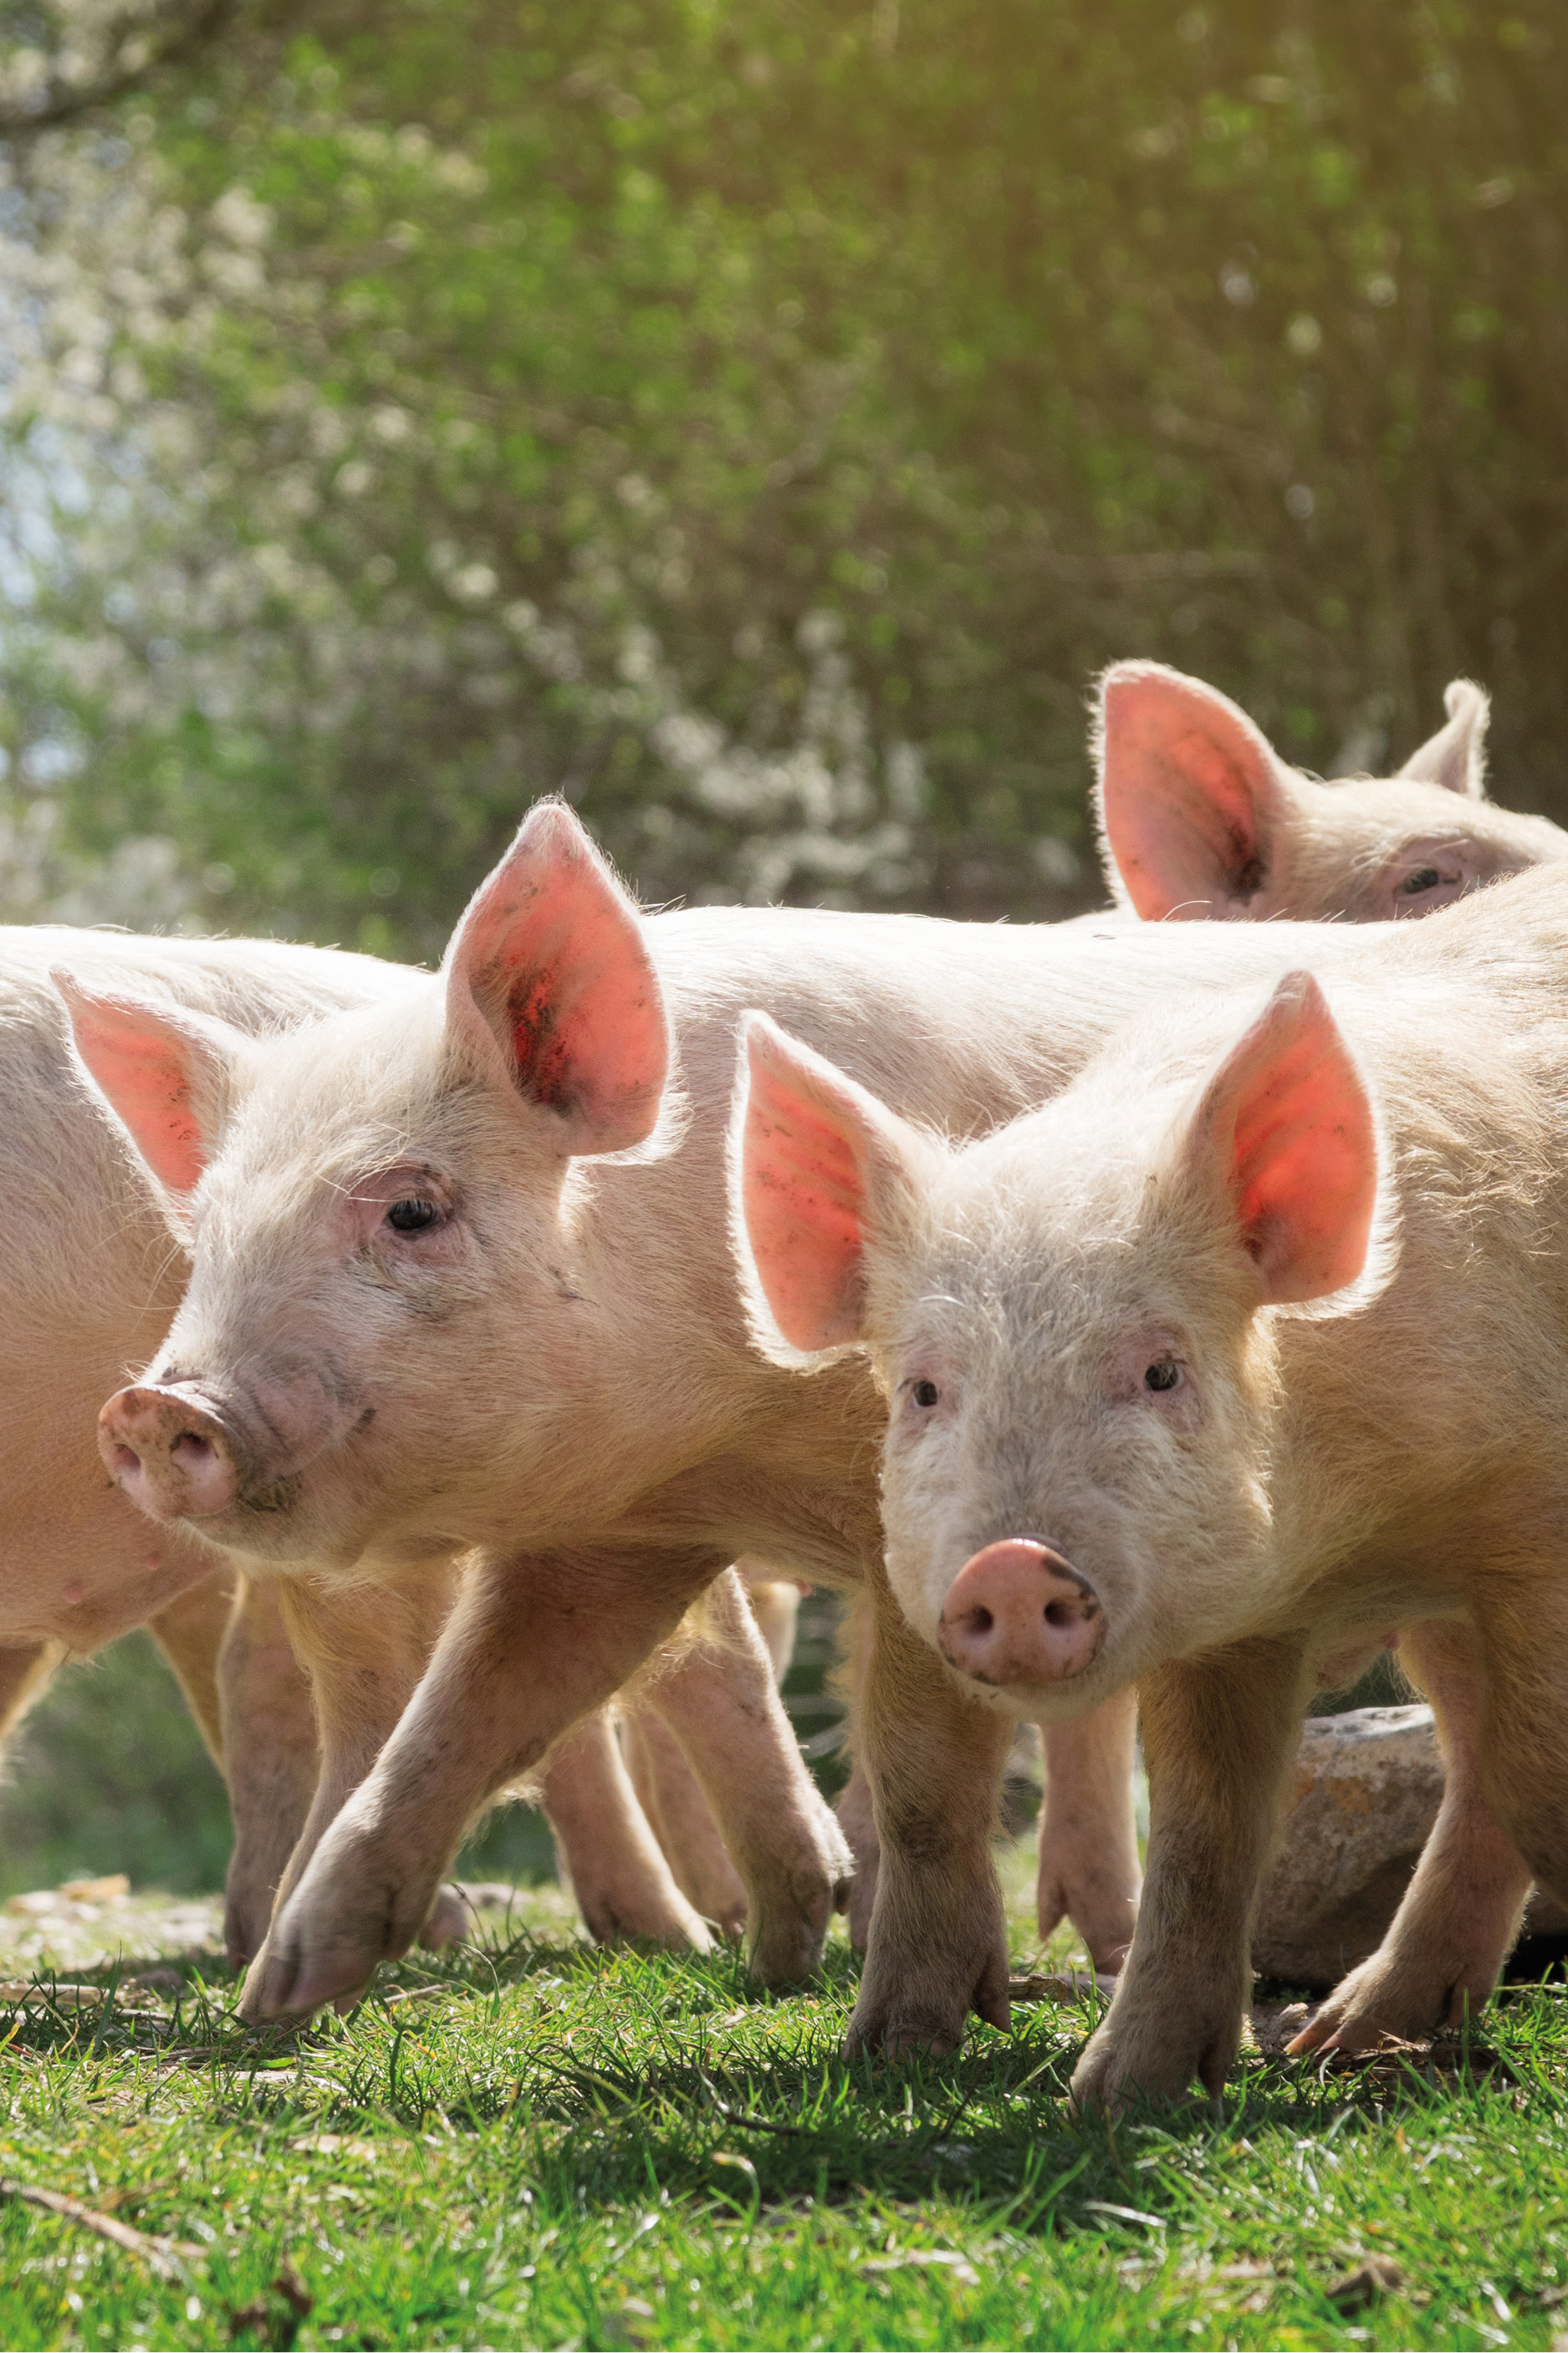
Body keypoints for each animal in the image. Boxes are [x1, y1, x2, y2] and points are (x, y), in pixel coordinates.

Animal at [731, 857, 1568, 2104]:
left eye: (1161, 1368)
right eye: (924, 1390)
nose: (1009, 1565)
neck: (1352, 1531)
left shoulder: (1528, 1522)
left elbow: (1537, 1776)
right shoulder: (1236, 1617)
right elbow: (1202, 1827)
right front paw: (1119, 2093)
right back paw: (1341, 2041)